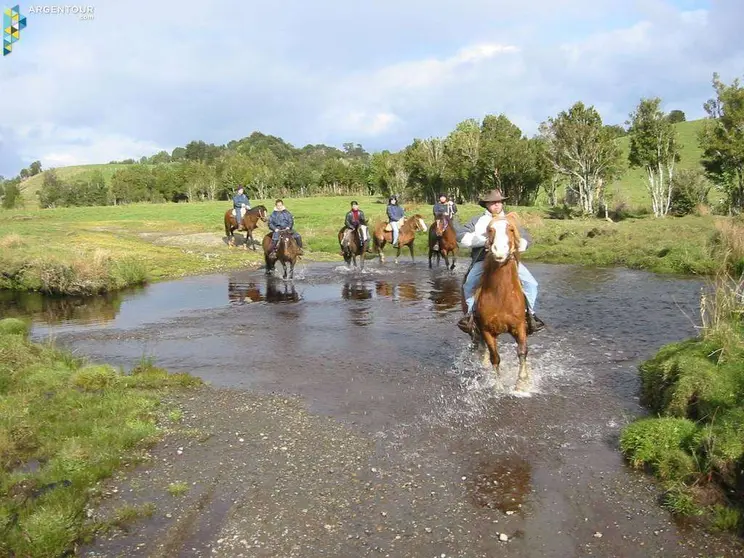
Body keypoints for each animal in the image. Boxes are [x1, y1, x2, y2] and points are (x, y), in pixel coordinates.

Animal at [468, 214, 532, 394]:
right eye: (490, 230)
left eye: (511, 229)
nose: (499, 251)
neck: (501, 295)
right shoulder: (486, 330)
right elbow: (495, 357)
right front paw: (498, 385)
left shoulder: (519, 326)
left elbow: (522, 352)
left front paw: (522, 382)